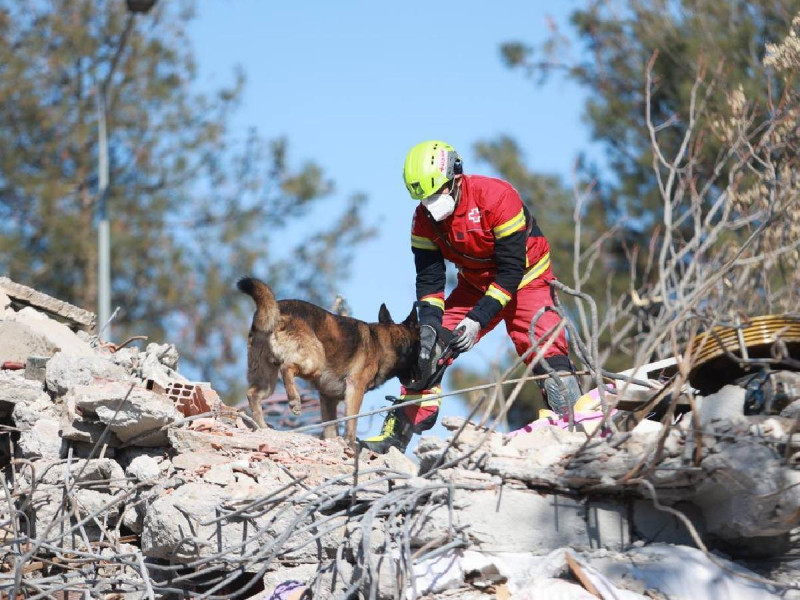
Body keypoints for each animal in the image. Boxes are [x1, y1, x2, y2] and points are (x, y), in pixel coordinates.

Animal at [238, 278, 422, 442]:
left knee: (253, 393)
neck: (384, 341)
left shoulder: (328, 398)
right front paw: (350, 445)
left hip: (267, 379)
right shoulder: (355, 388)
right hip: (314, 362)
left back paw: (262, 427)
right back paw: (294, 400)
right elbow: (351, 423)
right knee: (287, 367)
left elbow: (330, 429)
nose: (421, 376)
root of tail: (277, 309)